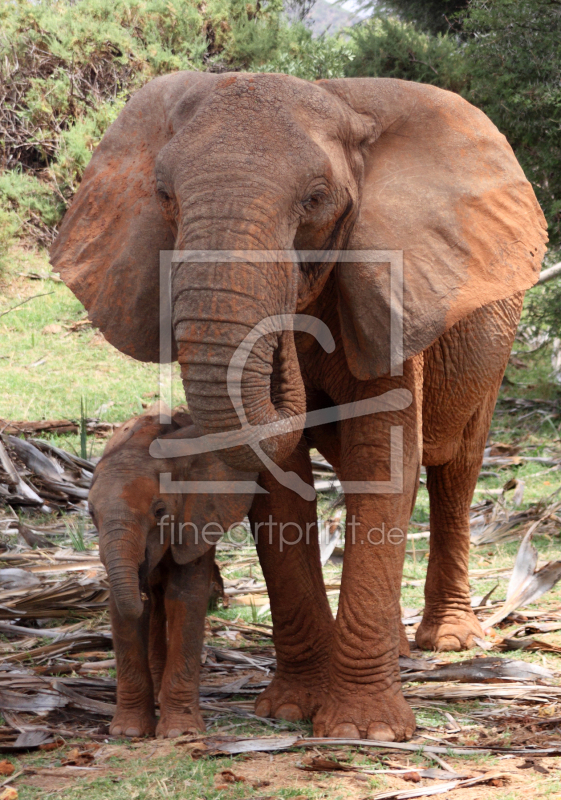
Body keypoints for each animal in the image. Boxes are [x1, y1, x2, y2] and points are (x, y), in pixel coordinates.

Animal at [89, 406, 254, 736]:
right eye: (91, 513)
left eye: (160, 511)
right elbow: (120, 606)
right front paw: (129, 732)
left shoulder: (198, 516)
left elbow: (184, 597)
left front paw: (181, 732)